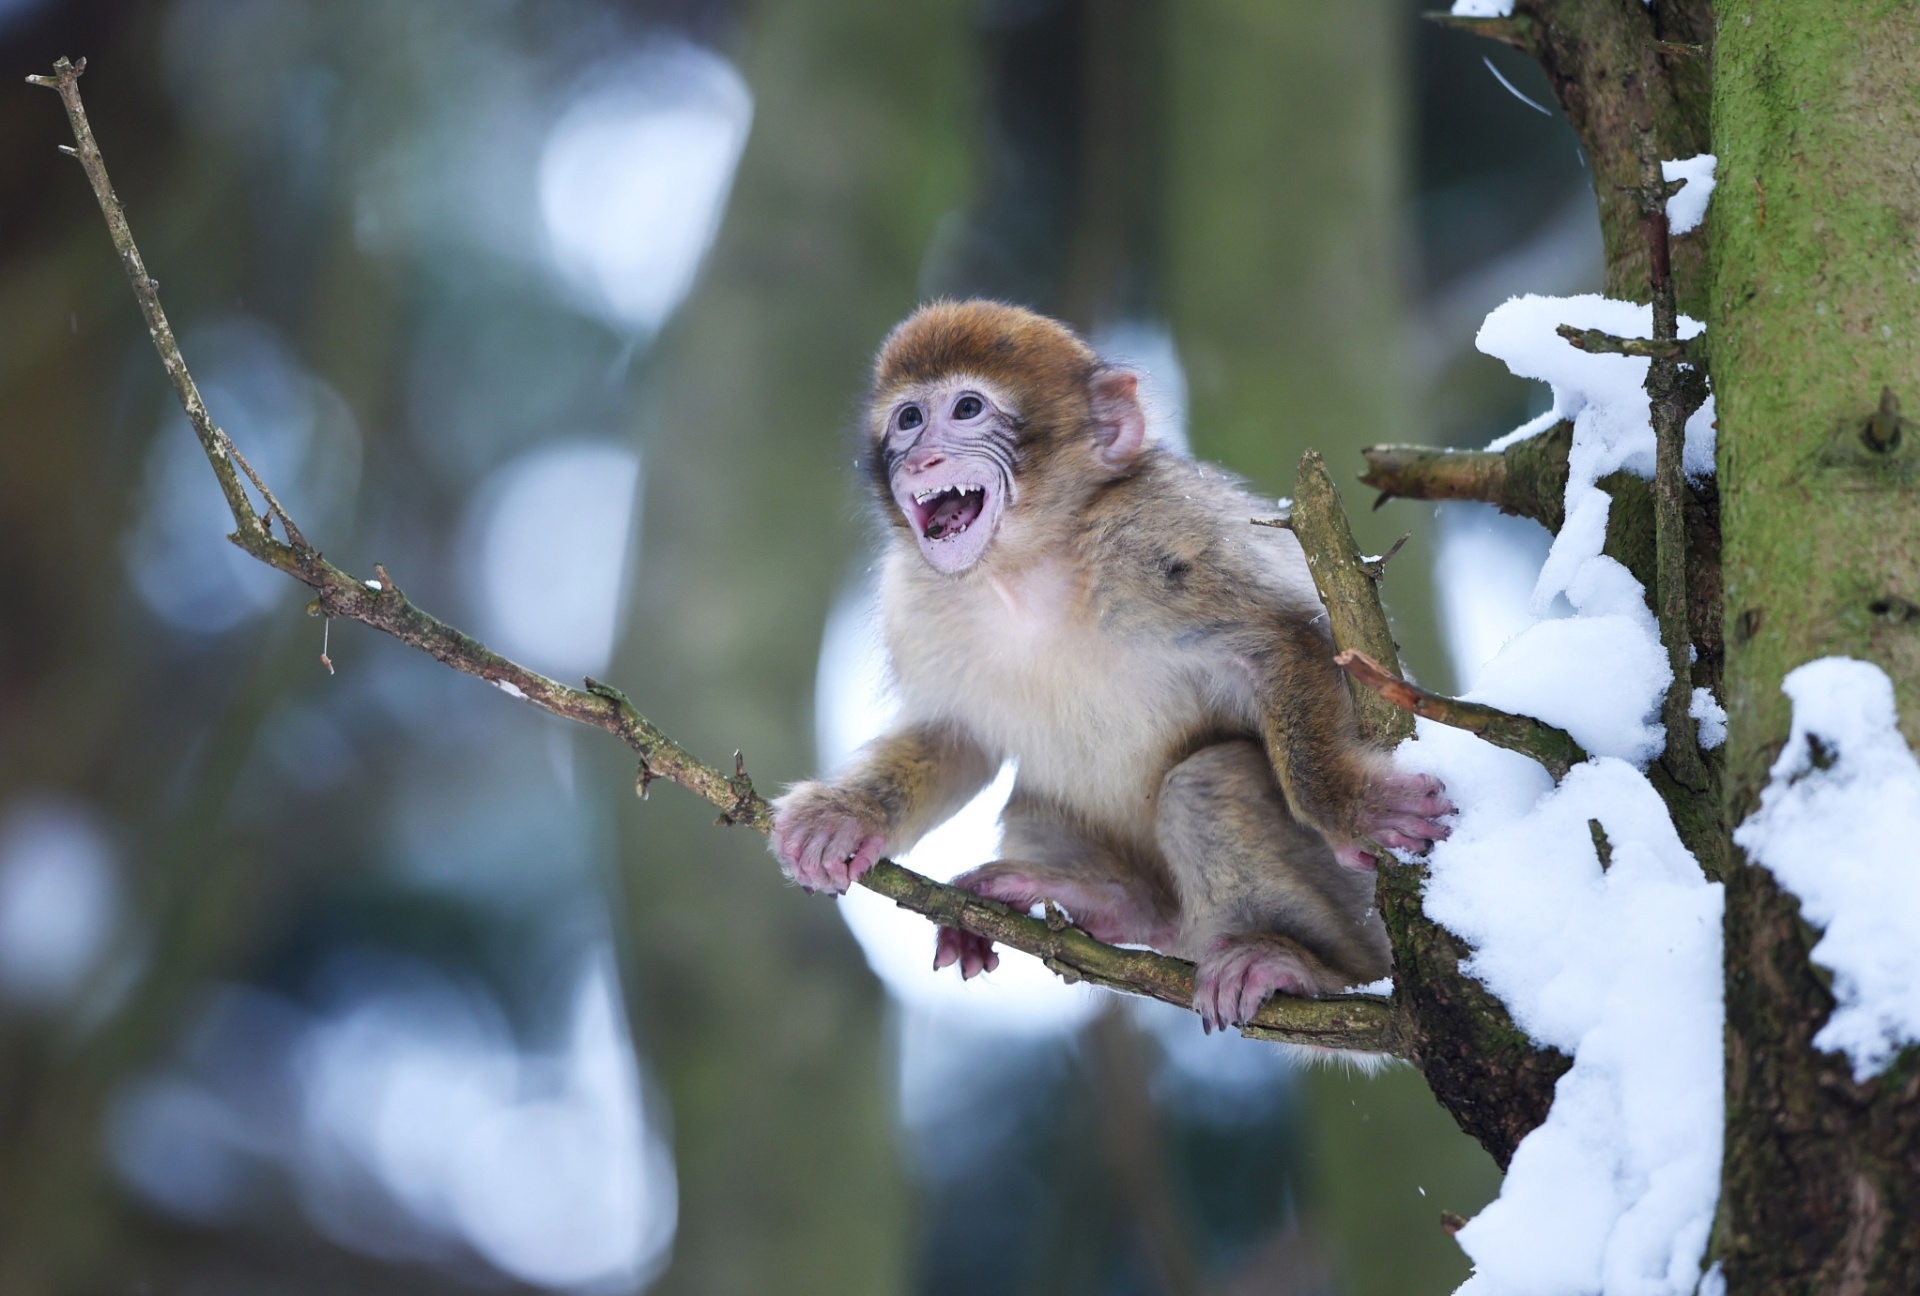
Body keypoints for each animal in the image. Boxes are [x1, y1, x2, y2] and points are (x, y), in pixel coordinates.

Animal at [771, 299, 1443, 1029]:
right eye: (909, 418)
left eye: (968, 408)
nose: (922, 457)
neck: (1024, 570)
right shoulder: (912, 598)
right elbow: (957, 738)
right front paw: (846, 817)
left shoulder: (1160, 532)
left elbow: (1287, 641)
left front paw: (1350, 806)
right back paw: (1119, 906)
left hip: (1358, 907)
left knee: (1208, 783)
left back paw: (1310, 970)